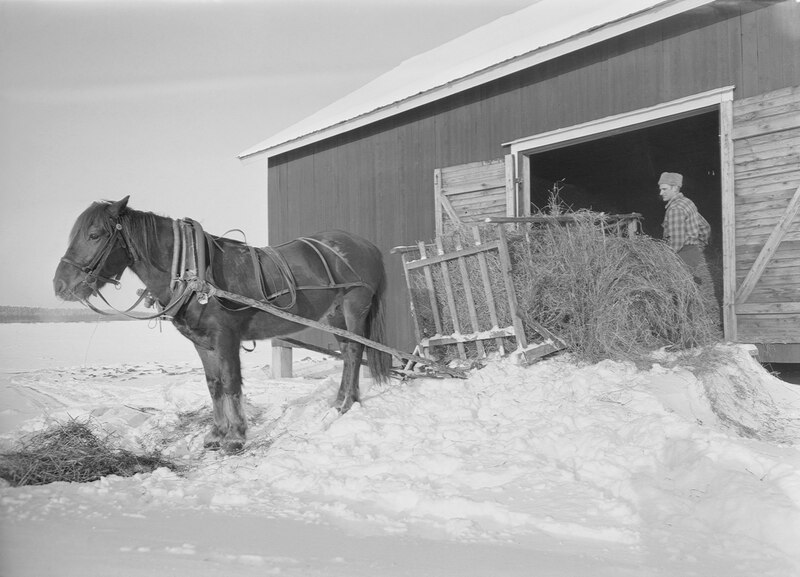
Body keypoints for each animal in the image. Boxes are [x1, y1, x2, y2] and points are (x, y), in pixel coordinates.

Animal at [52, 196, 390, 452]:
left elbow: (230, 383)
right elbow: (213, 385)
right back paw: (342, 399)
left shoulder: (225, 337)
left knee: (355, 353)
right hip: (335, 316)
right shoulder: (203, 342)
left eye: (95, 235)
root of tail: (367, 245)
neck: (192, 271)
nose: (60, 286)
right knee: (347, 353)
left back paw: (346, 404)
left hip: (354, 308)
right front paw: (217, 433)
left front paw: (236, 435)